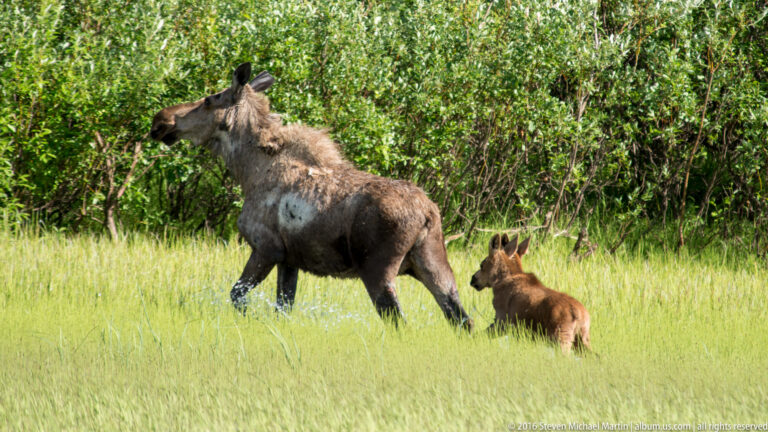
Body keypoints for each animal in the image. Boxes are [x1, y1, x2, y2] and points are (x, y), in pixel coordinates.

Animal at [149, 63, 473, 331]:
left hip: (378, 268)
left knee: (399, 321)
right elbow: (282, 307)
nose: (160, 120)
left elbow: (237, 295)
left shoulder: (266, 247)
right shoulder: (289, 259)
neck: (248, 172)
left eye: (209, 99)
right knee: (461, 318)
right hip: (432, 262)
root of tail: (428, 212)